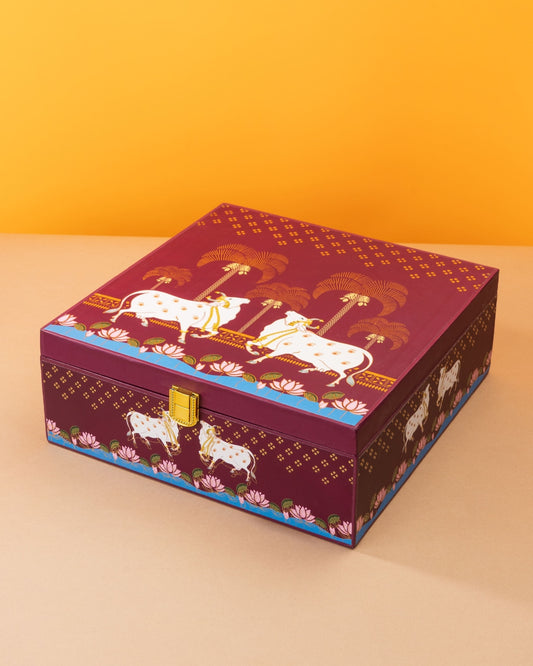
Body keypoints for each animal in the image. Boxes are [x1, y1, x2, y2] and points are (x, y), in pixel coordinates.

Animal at [105, 290, 250, 343]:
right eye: (230, 298)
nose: (247, 300)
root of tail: (147, 292)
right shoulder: (185, 321)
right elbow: (184, 331)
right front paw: (182, 340)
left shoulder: (208, 327)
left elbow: (213, 333)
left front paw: (196, 335)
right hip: (139, 307)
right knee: (125, 310)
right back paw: (113, 319)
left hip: (150, 312)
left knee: (139, 315)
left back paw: (144, 323)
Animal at [245, 311, 373, 387]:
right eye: (301, 317)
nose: (309, 322)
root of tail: (361, 350)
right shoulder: (265, 343)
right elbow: (248, 343)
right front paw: (253, 352)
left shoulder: (283, 349)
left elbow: (269, 355)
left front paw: (254, 360)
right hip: (318, 361)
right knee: (323, 369)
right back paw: (306, 370)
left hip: (336, 364)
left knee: (342, 374)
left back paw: (332, 383)